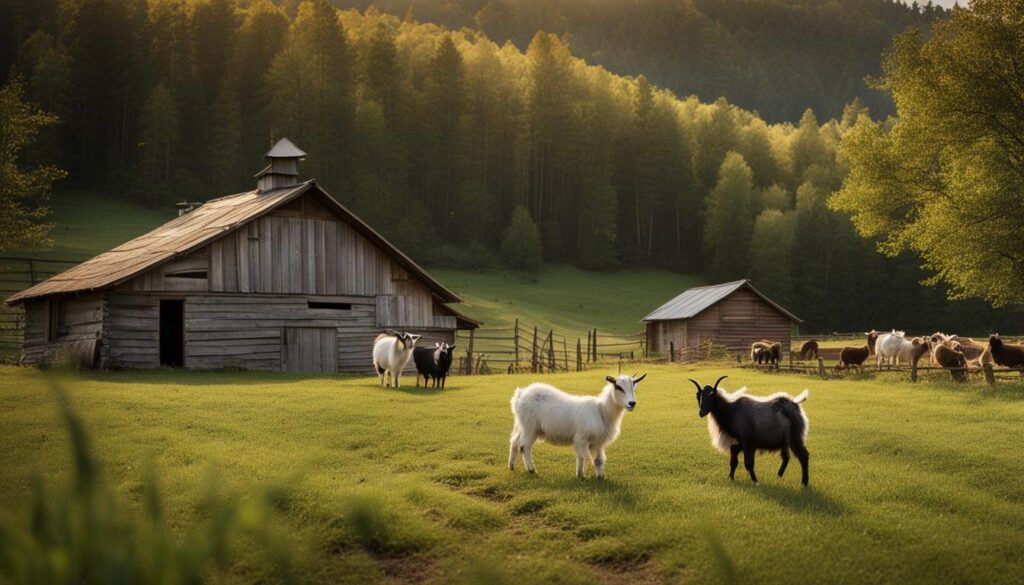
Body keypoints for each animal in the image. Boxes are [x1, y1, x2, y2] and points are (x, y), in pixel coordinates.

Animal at [508, 373, 645, 479]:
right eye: (618, 387)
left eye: (633, 387)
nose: (632, 403)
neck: (602, 411)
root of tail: (521, 394)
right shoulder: (581, 439)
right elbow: (582, 457)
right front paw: (580, 475)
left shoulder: (598, 442)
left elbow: (598, 460)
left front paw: (600, 477)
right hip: (530, 427)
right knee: (524, 447)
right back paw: (531, 469)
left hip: (522, 425)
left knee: (514, 442)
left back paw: (511, 466)